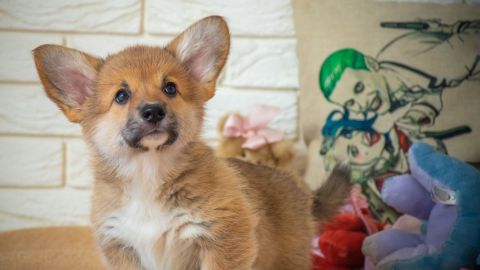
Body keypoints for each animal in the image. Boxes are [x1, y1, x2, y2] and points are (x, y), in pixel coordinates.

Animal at [32, 16, 348, 270]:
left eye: (170, 88)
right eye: (121, 96)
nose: (153, 111)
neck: (148, 172)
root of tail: (302, 190)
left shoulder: (224, 240)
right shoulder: (121, 247)